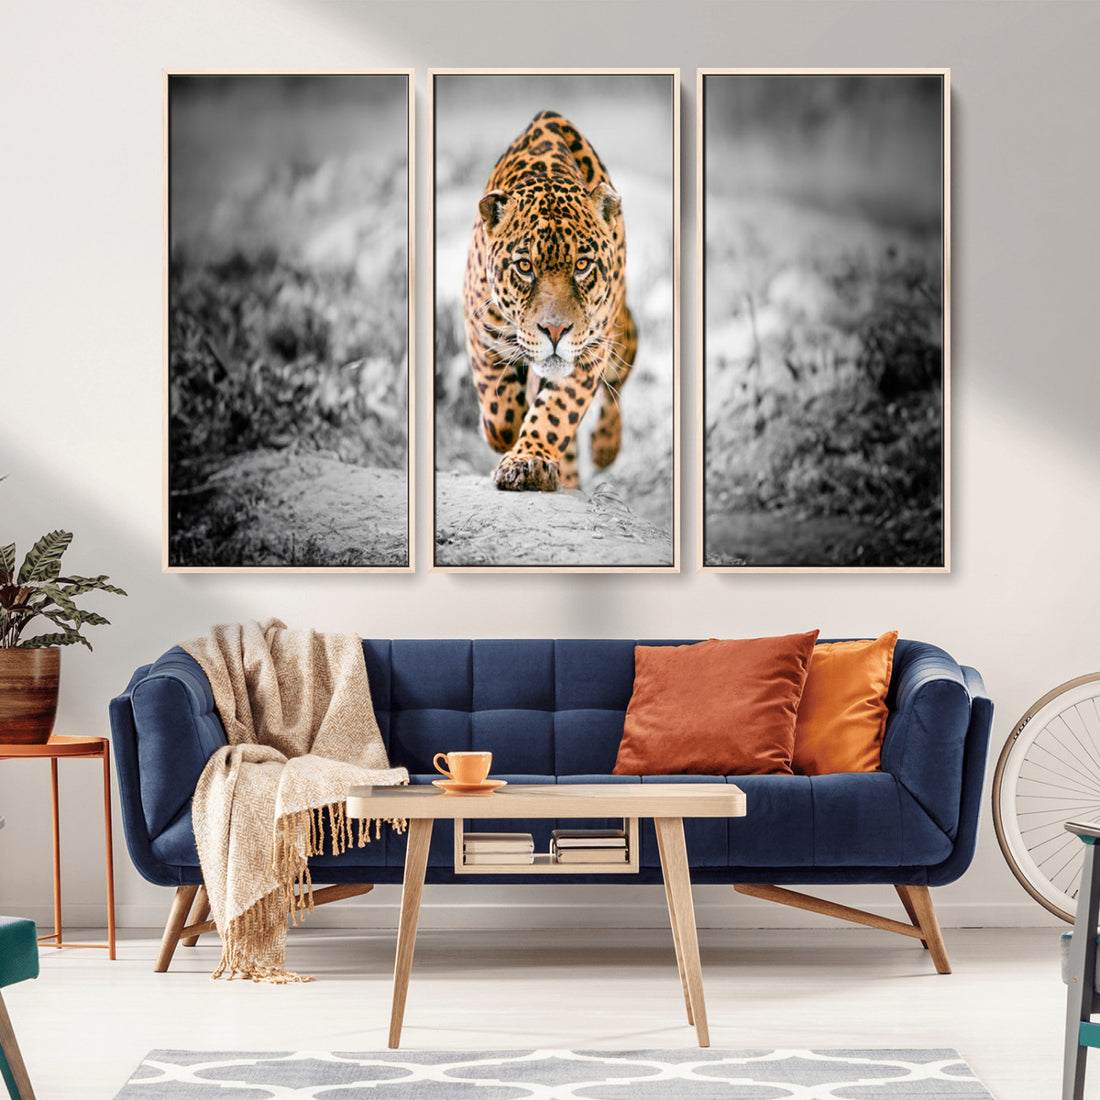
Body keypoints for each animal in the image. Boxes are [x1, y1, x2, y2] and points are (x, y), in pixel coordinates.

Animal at [462, 110, 637, 492]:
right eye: (525, 267)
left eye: (582, 265)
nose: (555, 331)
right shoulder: (481, 328)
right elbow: (499, 411)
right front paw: (506, 436)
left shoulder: (591, 350)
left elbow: (556, 411)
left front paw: (528, 461)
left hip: (621, 336)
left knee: (616, 383)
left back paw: (605, 447)